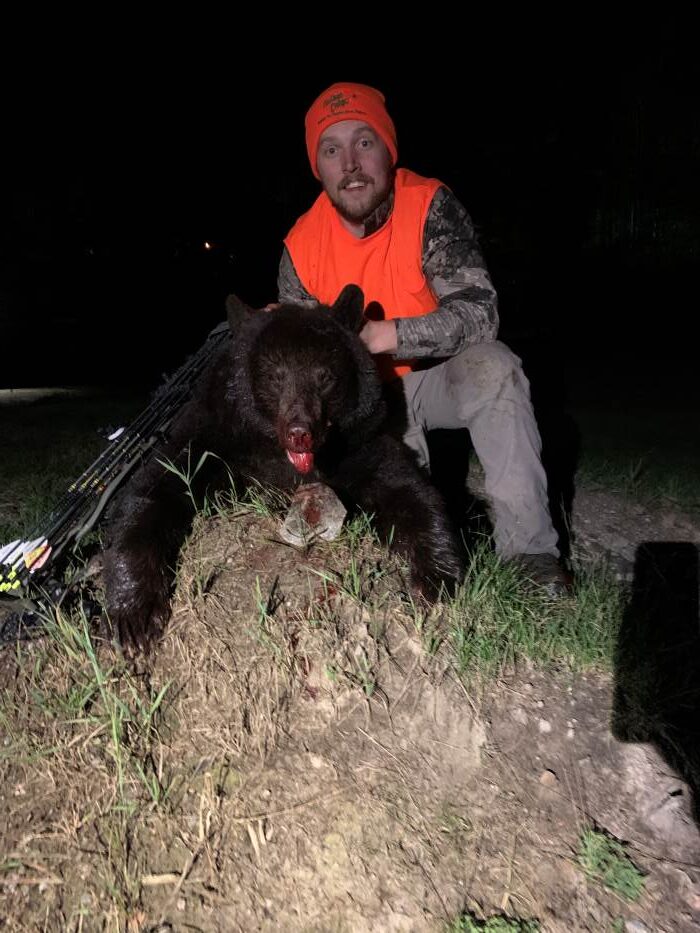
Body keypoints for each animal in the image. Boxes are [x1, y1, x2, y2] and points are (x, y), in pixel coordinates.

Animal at [102, 284, 464, 648]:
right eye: (276, 377)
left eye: (325, 377)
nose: (300, 433)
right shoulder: (215, 437)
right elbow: (154, 490)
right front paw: (134, 616)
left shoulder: (361, 445)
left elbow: (409, 490)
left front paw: (435, 581)